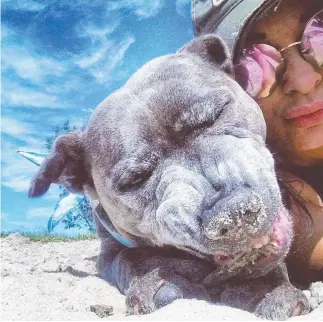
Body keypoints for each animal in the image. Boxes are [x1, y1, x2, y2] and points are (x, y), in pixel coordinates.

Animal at [29, 35, 312, 320]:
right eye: (135, 179)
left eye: (215, 115)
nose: (232, 212)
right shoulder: (109, 251)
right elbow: (132, 258)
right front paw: (159, 280)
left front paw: (261, 287)